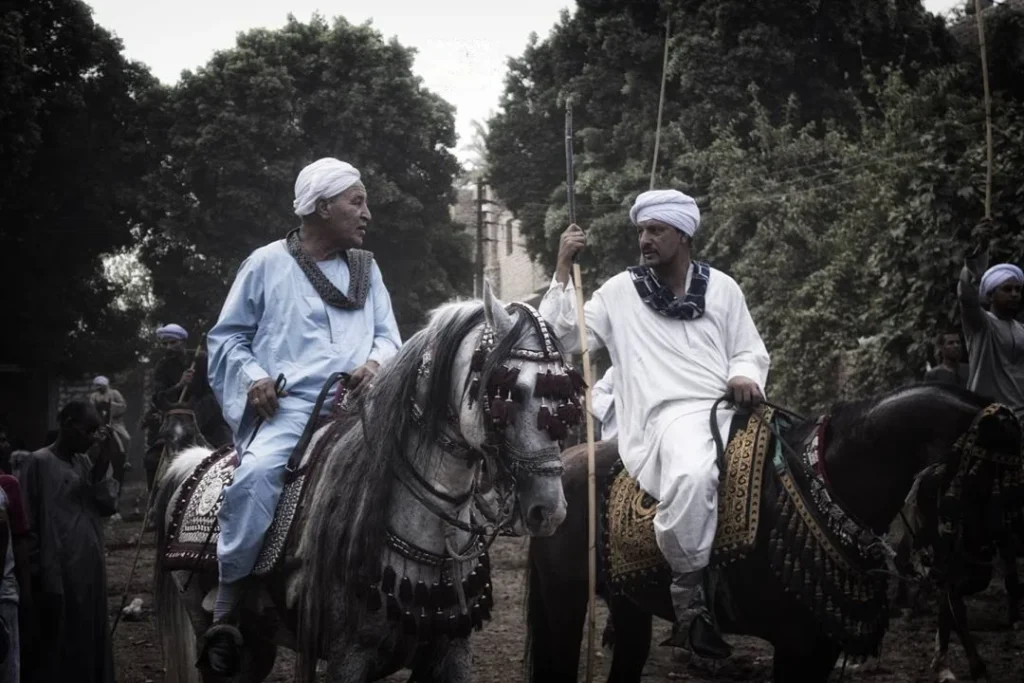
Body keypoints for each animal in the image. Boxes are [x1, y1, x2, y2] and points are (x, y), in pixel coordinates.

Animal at [153, 288, 583, 683]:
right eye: (511, 393)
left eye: (563, 398)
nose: (550, 510)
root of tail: (196, 462)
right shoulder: (350, 657)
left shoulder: (450, 651)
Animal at [522, 384, 1023, 683]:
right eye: (970, 484)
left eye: (1011, 490)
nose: (975, 575)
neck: (826, 486)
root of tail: (564, 466)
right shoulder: (795, 644)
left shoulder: (821, 648)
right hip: (566, 603)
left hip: (629, 605)